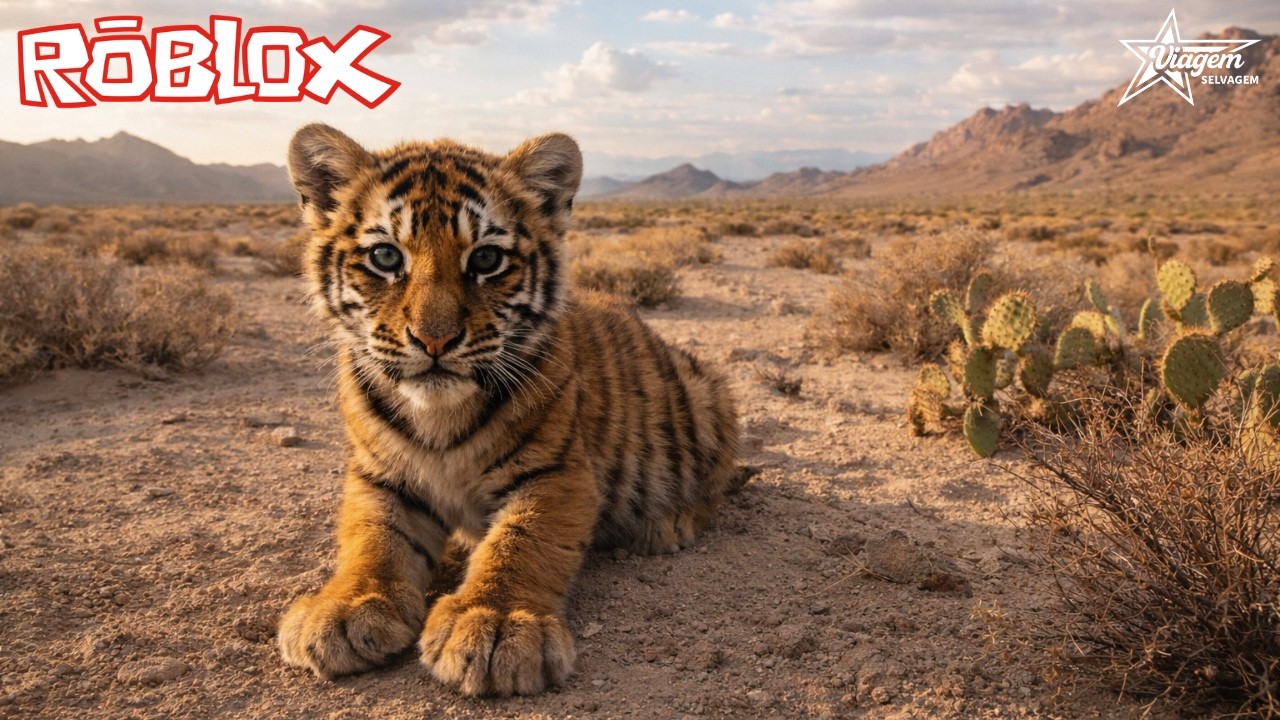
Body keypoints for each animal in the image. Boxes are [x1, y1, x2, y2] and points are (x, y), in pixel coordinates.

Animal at [276, 123, 741, 697]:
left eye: (485, 260)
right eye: (386, 258)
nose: (435, 339)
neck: (439, 415)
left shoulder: (556, 471)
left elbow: (522, 541)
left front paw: (495, 625)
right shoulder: (379, 475)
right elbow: (372, 537)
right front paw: (344, 609)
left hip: (707, 396)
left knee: (714, 489)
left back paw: (664, 526)